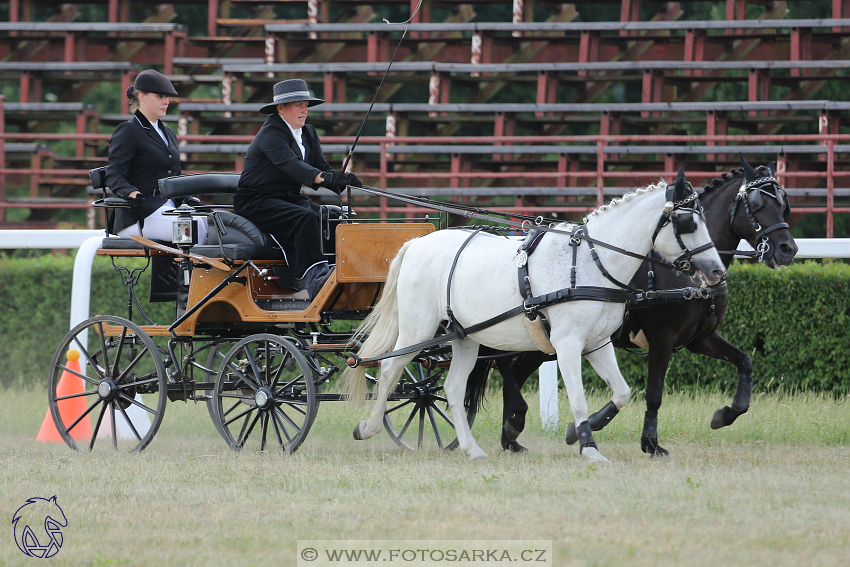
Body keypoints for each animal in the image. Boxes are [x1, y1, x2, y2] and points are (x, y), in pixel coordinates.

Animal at [342, 175, 724, 464]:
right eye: (688, 222)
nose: (717, 272)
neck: (591, 262)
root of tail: (417, 243)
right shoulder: (568, 345)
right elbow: (578, 398)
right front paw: (589, 447)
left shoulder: (598, 344)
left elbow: (622, 392)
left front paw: (577, 433)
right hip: (417, 329)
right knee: (390, 370)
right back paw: (367, 428)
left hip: (464, 336)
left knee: (451, 388)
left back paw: (471, 448)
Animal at [468, 159, 800, 458]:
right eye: (757, 205)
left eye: (784, 205)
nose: (788, 249)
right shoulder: (662, 339)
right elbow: (654, 394)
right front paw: (648, 443)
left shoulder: (700, 339)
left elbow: (745, 361)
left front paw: (725, 414)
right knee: (505, 368)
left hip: (540, 342)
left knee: (512, 371)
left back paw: (510, 435)